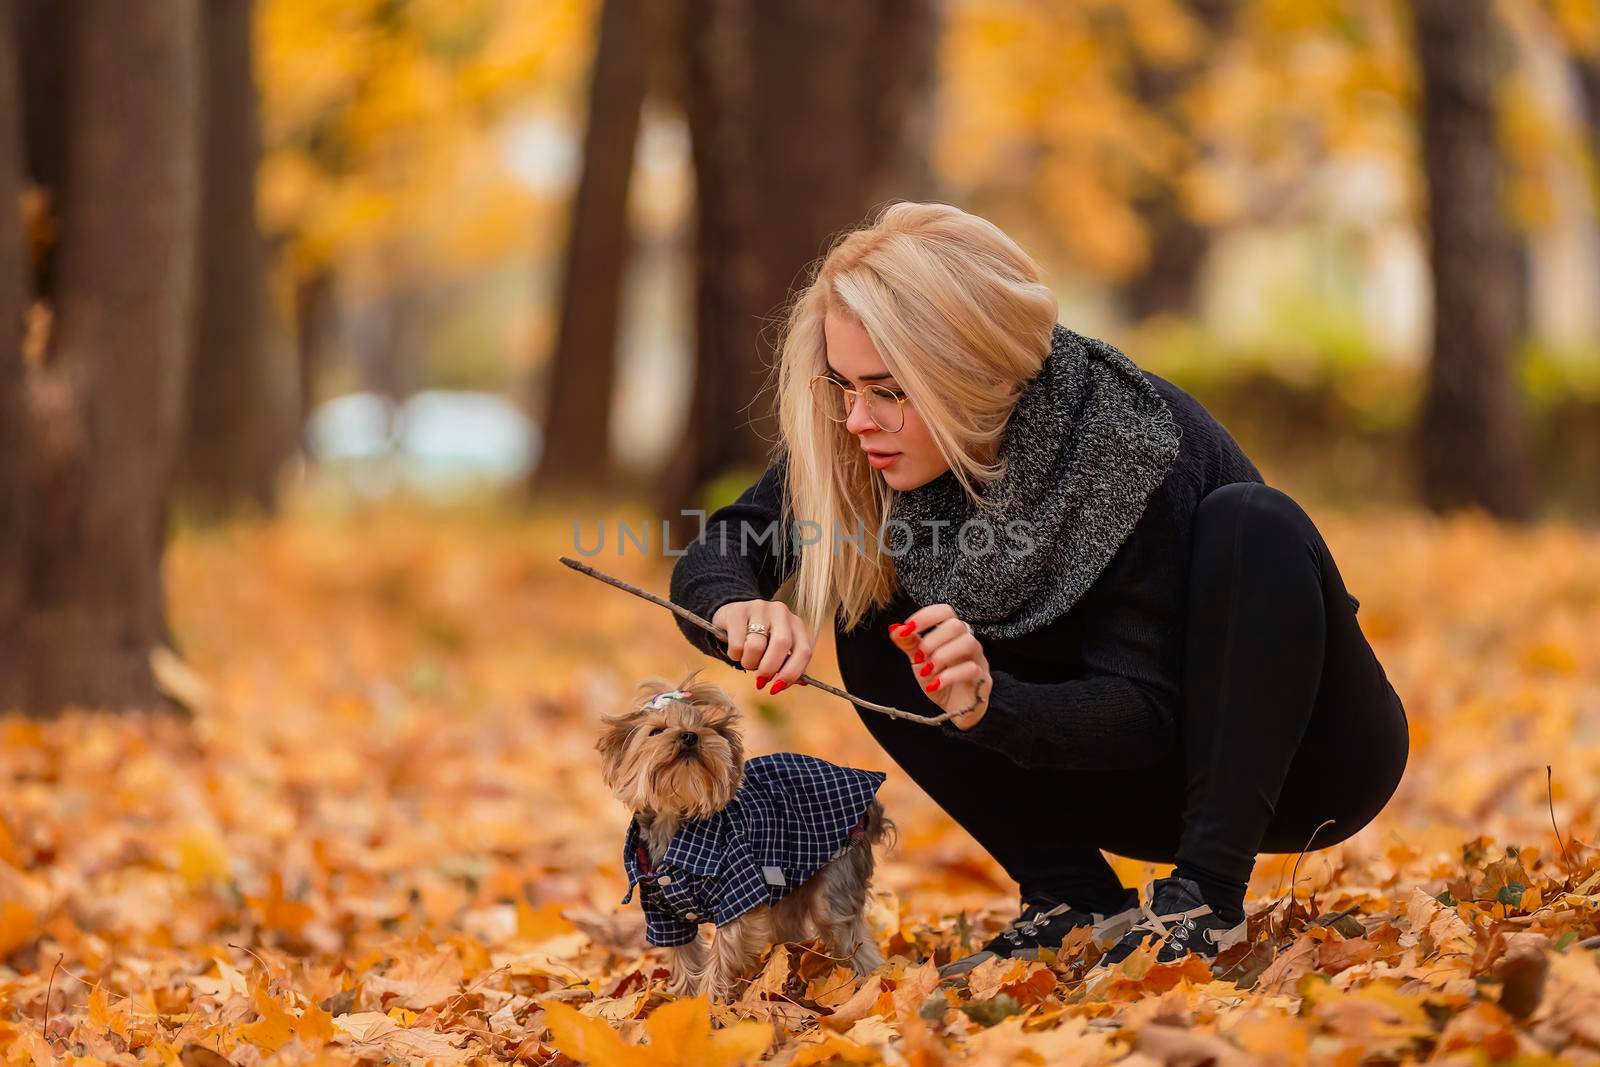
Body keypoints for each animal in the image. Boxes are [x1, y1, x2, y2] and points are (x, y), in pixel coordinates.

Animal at [601, 671, 902, 998]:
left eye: (705, 727)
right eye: (656, 731)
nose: (689, 736)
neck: (676, 820)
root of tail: (870, 806)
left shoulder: (739, 892)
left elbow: (724, 951)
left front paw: (710, 1001)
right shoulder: (663, 914)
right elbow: (683, 955)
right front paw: (683, 999)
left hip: (836, 872)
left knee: (848, 932)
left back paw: (870, 982)